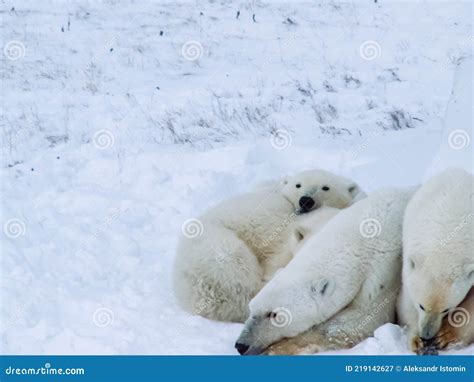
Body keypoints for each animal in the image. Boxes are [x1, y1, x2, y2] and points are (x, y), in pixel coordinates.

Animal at [235, 188, 412, 356]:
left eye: (274, 314)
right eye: (251, 308)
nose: (241, 345)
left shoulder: (383, 276)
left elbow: (359, 320)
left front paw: (277, 349)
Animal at [398, 169, 472, 354]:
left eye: (446, 309)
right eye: (421, 306)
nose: (427, 334)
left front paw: (446, 336)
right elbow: (405, 301)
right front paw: (415, 340)